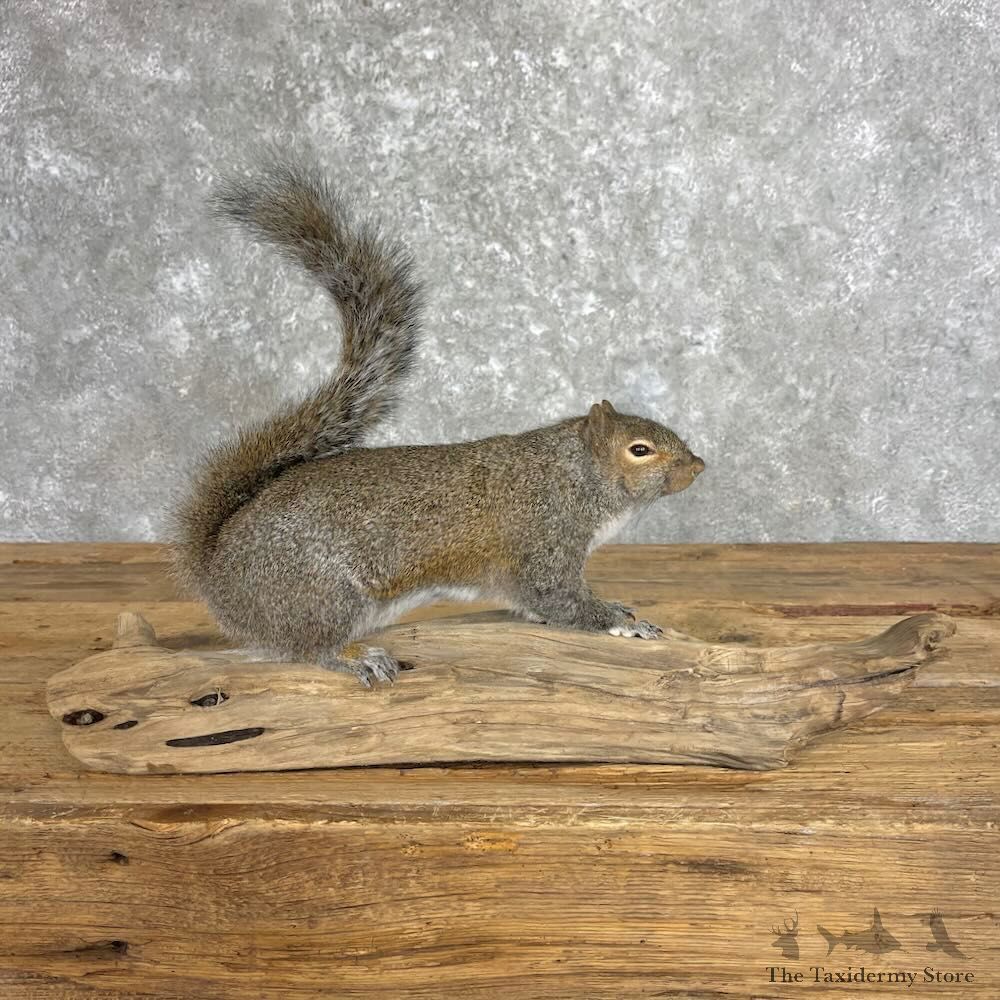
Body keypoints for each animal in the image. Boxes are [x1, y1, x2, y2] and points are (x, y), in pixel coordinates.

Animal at [170, 157, 705, 687]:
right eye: (639, 449)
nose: (698, 466)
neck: (573, 475)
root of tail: (217, 574)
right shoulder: (542, 541)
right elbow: (558, 597)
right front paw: (618, 621)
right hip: (321, 594)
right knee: (310, 647)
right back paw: (355, 657)